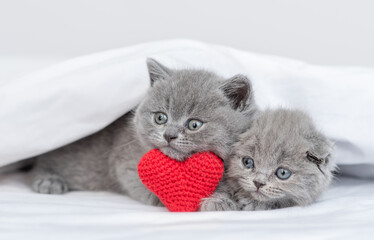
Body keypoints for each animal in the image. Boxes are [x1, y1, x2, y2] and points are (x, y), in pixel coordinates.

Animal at [30, 57, 258, 205]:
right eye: (161, 118)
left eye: (194, 124)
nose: (169, 135)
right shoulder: (124, 162)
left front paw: (222, 199)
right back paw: (48, 181)